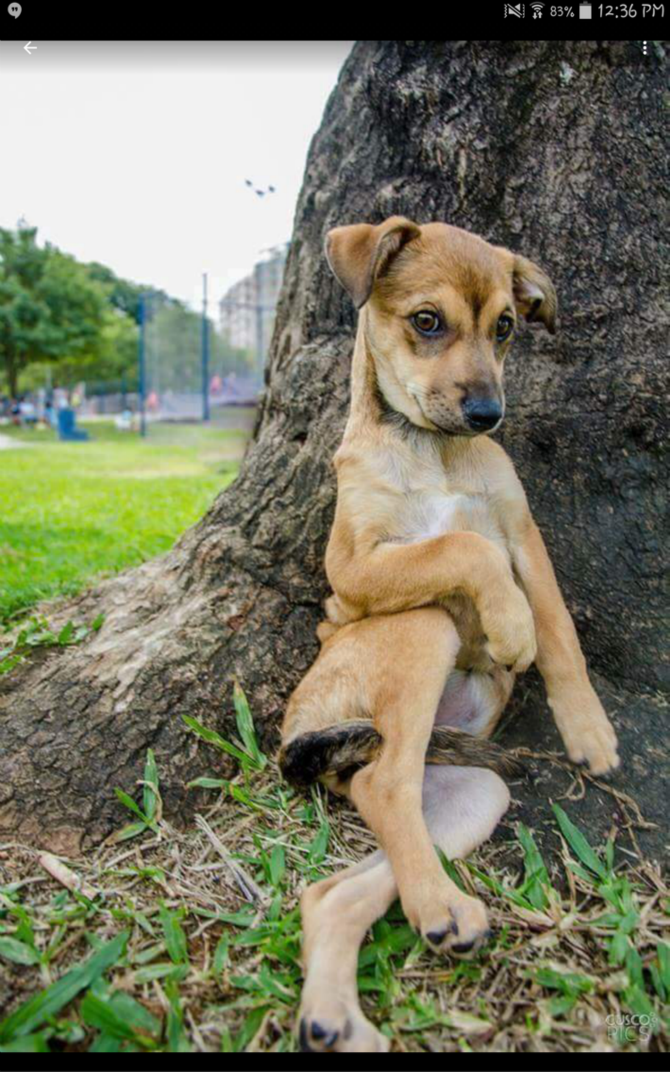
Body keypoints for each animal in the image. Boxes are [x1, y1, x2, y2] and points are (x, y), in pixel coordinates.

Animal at [276, 213, 617, 1050]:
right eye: (427, 322)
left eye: (505, 328)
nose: (488, 415)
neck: (431, 448)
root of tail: (302, 731)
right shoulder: (354, 569)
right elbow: (457, 547)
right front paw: (508, 626)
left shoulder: (524, 533)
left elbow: (558, 627)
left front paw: (588, 730)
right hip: (421, 630)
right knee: (383, 785)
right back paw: (433, 910)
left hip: (470, 798)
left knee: (338, 883)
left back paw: (351, 1008)